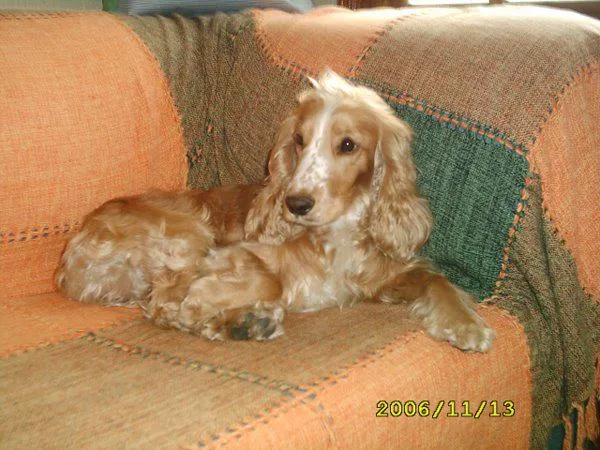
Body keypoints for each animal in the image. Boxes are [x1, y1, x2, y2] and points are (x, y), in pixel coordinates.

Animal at [56, 70, 495, 352]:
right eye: (299, 140)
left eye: (348, 145)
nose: (295, 204)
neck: (335, 235)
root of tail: (71, 257)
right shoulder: (235, 253)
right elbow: (270, 281)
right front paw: (209, 298)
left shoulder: (383, 276)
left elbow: (435, 279)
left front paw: (465, 324)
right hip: (188, 233)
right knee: (162, 304)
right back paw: (240, 321)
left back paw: (240, 324)